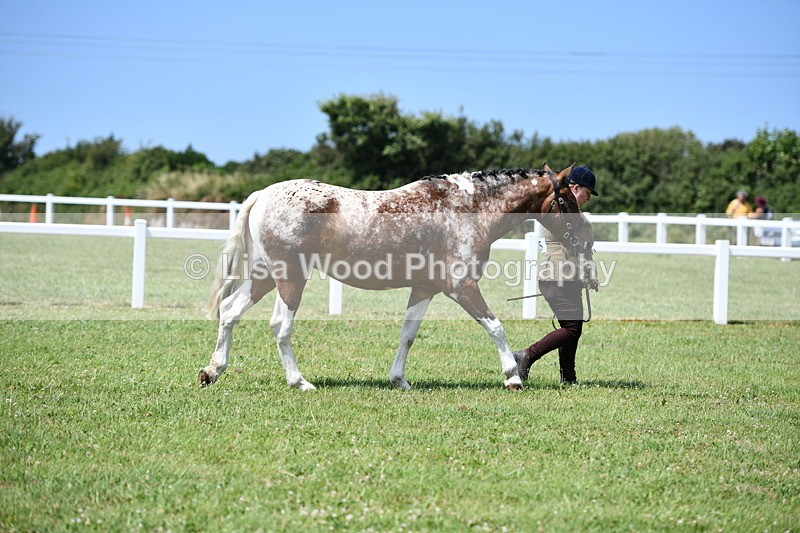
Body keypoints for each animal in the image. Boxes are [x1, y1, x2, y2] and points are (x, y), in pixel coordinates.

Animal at [199, 163, 593, 391]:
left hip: (265, 276)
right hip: (291, 279)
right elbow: (495, 327)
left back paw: (212, 371)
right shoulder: (461, 287)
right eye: (568, 200)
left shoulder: (424, 288)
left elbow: (408, 335)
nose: (585, 239)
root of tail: (262, 196)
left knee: (230, 311)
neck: (469, 210)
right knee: (280, 326)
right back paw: (299, 382)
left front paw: (399, 380)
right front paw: (512, 374)